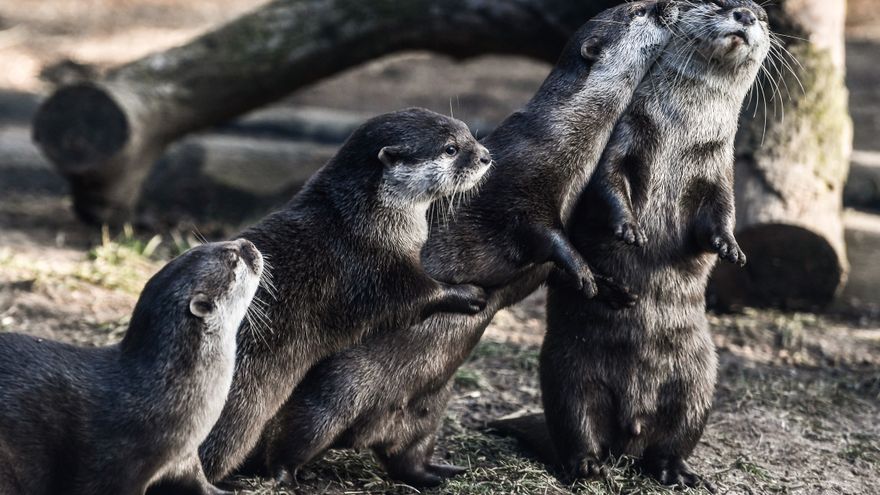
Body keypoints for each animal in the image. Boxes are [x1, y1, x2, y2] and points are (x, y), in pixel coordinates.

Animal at [0, 240, 262, 495]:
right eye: (233, 259)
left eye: (204, 245)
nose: (249, 244)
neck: (166, 389)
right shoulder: (116, 460)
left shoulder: (184, 453)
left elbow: (197, 479)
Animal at [194, 107, 496, 480]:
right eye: (451, 149)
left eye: (468, 132)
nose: (485, 156)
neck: (364, 221)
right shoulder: (372, 271)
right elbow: (416, 299)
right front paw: (468, 293)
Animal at [262, 0, 680, 488]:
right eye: (639, 12)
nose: (670, 6)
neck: (565, 136)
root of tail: (364, 432)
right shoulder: (520, 190)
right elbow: (546, 236)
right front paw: (582, 272)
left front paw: (612, 289)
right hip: (334, 389)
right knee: (299, 431)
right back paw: (282, 474)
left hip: (429, 407)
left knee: (405, 455)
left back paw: (439, 472)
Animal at [536, 0, 768, 488]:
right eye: (720, 3)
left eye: (763, 16)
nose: (745, 14)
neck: (682, 134)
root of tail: (631, 429)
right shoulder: (626, 135)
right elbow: (607, 182)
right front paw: (629, 228)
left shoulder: (718, 164)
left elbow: (721, 212)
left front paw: (731, 249)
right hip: (566, 370)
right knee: (576, 420)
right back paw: (588, 465)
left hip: (700, 379)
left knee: (674, 437)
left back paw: (677, 471)